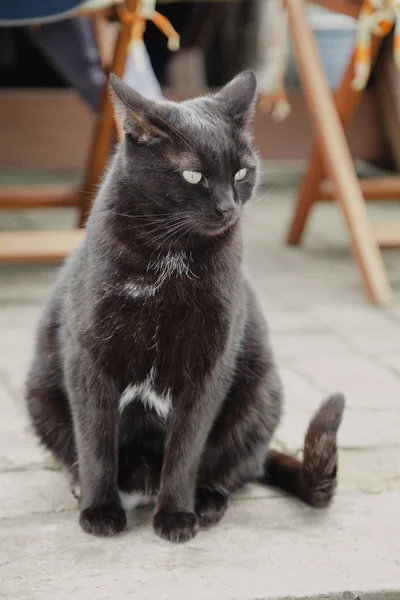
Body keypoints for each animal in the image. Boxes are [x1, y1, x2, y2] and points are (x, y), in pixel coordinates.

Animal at [25, 71, 344, 544]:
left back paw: (206, 502)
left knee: (232, 465)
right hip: (40, 393)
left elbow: (186, 448)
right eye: (194, 175)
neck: (169, 257)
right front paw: (99, 511)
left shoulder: (210, 363)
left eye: (241, 172)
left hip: (261, 394)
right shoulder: (88, 358)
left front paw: (176, 516)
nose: (228, 207)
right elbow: (97, 442)